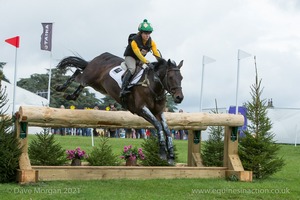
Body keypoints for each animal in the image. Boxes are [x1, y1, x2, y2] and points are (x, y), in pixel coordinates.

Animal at [55, 51, 184, 164]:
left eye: (181, 78)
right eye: (171, 77)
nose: (179, 98)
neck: (152, 86)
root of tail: (100, 56)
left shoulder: (159, 112)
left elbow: (166, 129)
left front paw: (171, 155)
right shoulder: (141, 109)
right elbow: (158, 126)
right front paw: (162, 152)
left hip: (98, 85)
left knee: (81, 80)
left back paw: (72, 95)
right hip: (90, 77)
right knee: (78, 74)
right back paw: (61, 88)